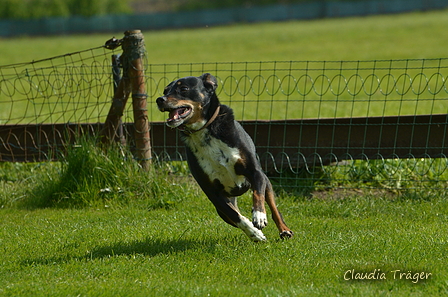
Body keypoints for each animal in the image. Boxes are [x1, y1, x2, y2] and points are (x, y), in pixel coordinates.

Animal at [156, 72, 292, 240]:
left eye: (184, 88)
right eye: (165, 90)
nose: (160, 99)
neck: (206, 130)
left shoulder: (255, 172)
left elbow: (257, 195)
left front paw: (259, 216)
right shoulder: (212, 192)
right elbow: (236, 216)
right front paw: (254, 233)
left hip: (266, 182)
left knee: (273, 208)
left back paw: (284, 229)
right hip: (222, 208)